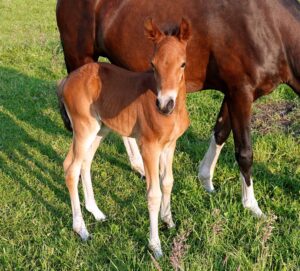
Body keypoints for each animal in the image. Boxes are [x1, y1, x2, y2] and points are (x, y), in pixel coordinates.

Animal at [56, 0, 300, 218]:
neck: (269, 26)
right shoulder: (241, 93)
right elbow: (244, 152)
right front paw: (252, 206)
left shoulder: (232, 93)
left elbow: (220, 132)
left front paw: (206, 181)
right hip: (80, 60)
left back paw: (139, 167)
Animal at [56, 19, 190, 260]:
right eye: (153, 64)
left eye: (182, 64)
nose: (165, 104)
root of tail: (66, 80)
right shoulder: (149, 147)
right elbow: (153, 193)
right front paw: (155, 246)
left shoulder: (170, 145)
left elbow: (168, 181)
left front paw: (169, 221)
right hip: (83, 129)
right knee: (71, 167)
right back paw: (81, 228)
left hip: (100, 129)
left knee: (85, 163)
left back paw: (96, 212)